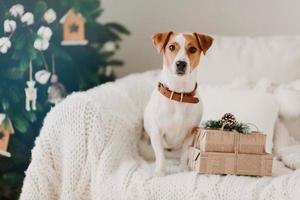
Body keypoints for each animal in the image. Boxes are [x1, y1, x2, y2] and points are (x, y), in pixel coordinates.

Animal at [144, 30, 212, 175]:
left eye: (192, 49)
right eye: (171, 47)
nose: (181, 63)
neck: (179, 94)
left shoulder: (190, 133)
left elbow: (185, 152)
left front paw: (183, 168)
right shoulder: (157, 133)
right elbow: (160, 155)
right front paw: (160, 171)